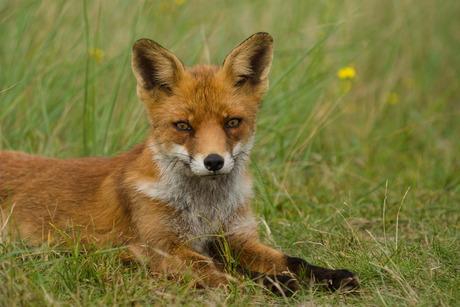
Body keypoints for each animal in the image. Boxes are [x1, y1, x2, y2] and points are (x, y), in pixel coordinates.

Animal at [0, 33, 358, 296]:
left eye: (232, 122)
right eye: (183, 126)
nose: (214, 161)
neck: (207, 208)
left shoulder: (237, 237)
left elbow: (291, 259)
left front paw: (330, 276)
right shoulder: (158, 248)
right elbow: (227, 274)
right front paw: (274, 284)